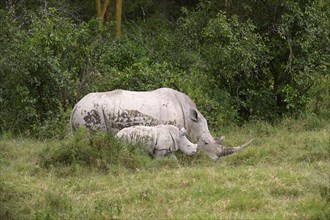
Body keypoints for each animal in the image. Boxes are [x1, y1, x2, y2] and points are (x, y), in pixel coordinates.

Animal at [71, 87, 254, 160]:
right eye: (206, 142)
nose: (216, 159)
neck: (191, 119)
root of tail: (75, 106)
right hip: (90, 112)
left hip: (84, 112)